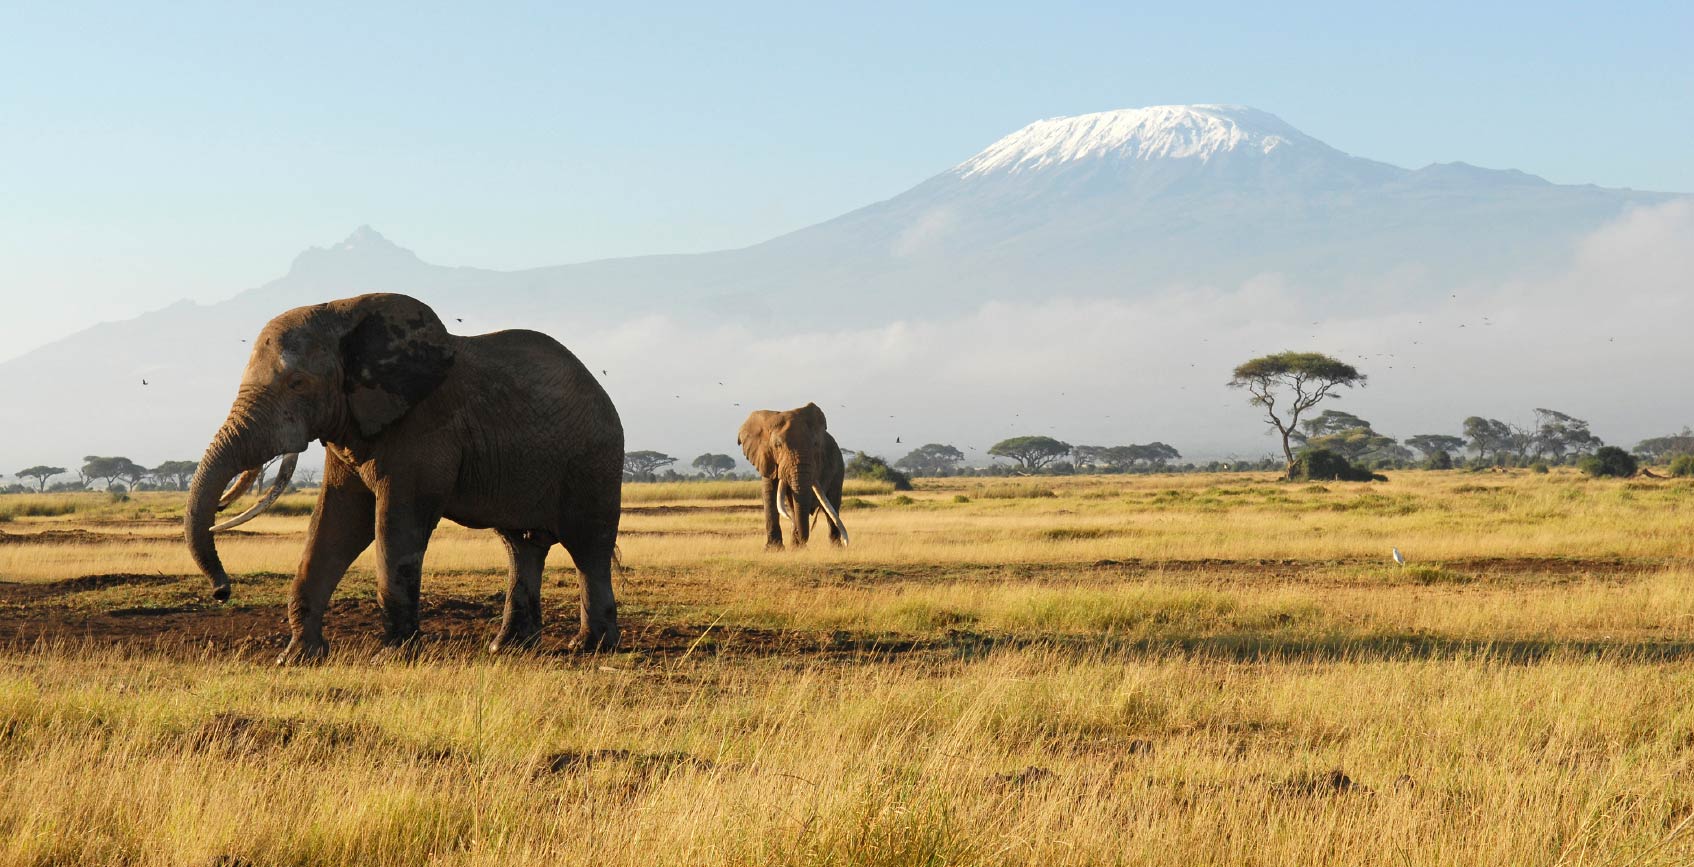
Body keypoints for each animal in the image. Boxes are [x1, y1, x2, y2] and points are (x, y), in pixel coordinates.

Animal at [183, 292, 624, 663]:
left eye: (297, 383)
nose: (222, 592)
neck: (343, 313)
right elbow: (336, 523)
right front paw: (297, 658)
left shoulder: (423, 428)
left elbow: (395, 524)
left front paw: (393, 655)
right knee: (521, 546)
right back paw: (508, 647)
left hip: (595, 460)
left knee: (588, 547)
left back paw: (590, 647)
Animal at [737, 403, 849, 549]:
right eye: (778, 445)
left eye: (815, 445)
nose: (803, 542)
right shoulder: (767, 459)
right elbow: (769, 493)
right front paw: (774, 549)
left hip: (838, 467)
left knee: (832, 505)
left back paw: (835, 548)